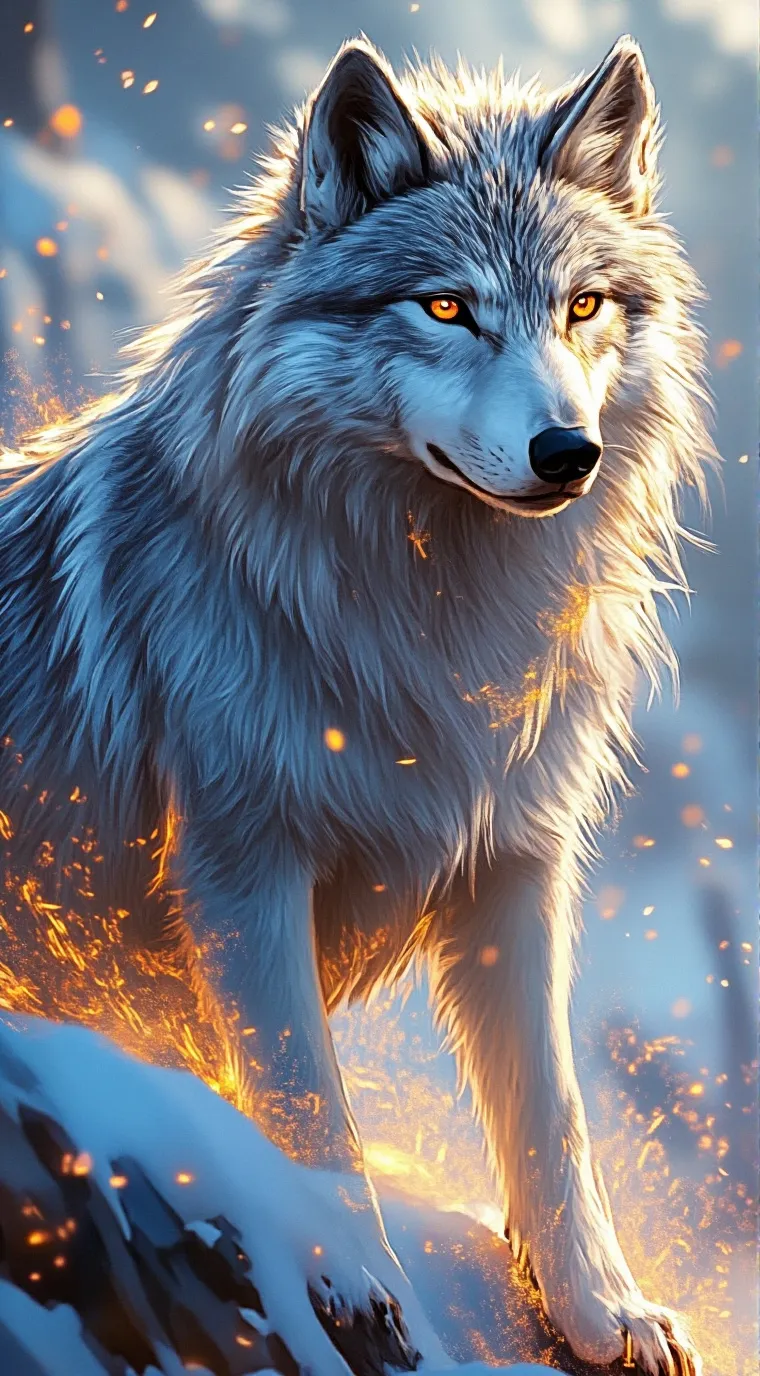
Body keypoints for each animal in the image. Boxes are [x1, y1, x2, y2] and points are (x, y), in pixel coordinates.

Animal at [0, 32, 711, 1374]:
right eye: (445, 307)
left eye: (582, 306)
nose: (567, 453)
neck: (425, 627)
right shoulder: (240, 868)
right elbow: (306, 1099)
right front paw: (346, 1276)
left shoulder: (515, 866)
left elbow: (552, 1114)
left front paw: (604, 1312)